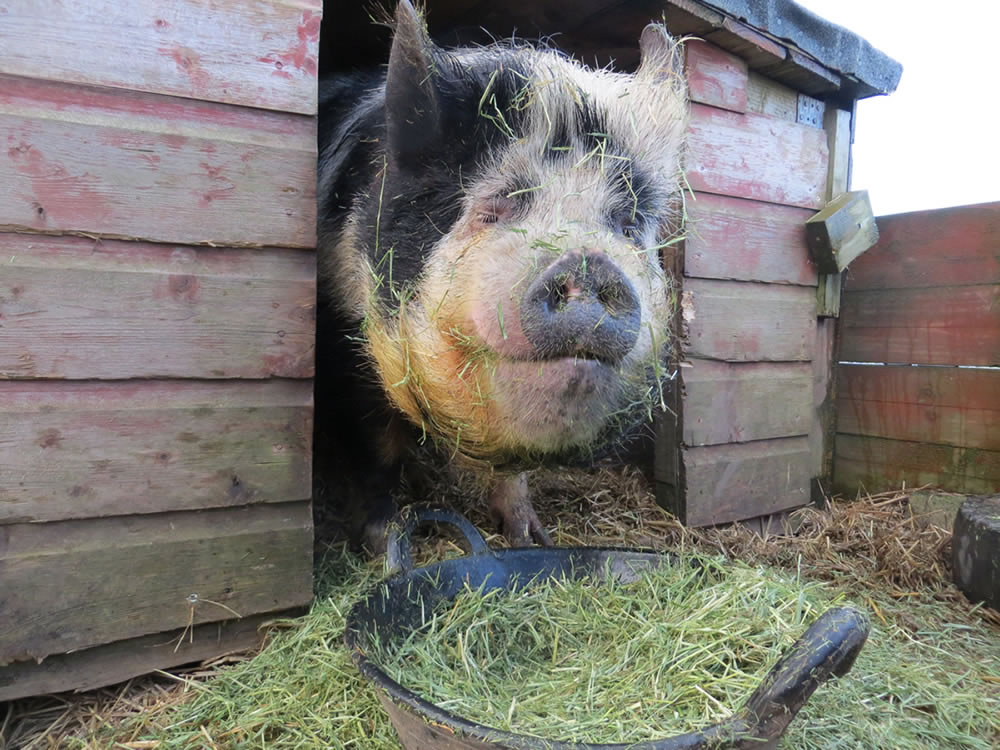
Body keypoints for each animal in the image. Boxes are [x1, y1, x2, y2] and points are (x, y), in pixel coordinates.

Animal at [314, 0, 687, 552]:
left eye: (625, 224)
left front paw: (532, 540)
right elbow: (377, 443)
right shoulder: (342, 336)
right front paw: (386, 542)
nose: (588, 261)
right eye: (495, 207)